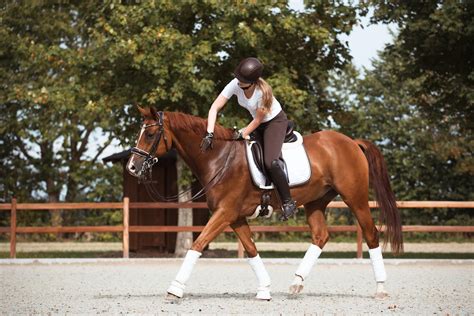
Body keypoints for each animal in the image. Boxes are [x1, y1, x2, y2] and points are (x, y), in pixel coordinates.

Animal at [128, 107, 402, 300]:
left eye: (150, 134)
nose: (132, 167)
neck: (219, 158)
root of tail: (351, 142)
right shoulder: (235, 216)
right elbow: (250, 249)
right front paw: (264, 289)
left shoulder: (224, 213)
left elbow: (198, 244)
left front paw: (174, 289)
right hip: (315, 202)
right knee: (321, 236)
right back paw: (296, 282)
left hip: (355, 199)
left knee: (371, 234)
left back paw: (380, 288)